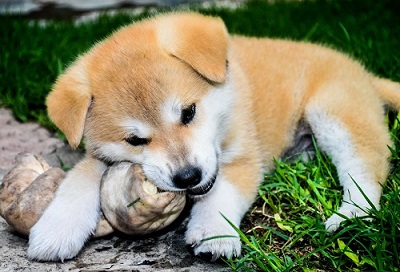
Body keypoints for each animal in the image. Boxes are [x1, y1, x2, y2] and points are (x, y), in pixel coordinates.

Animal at [27, 12, 400, 262]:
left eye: (188, 112)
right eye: (134, 141)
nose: (187, 177)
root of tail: (364, 73)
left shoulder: (244, 156)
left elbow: (222, 193)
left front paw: (213, 233)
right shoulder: (100, 156)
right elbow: (80, 178)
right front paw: (56, 228)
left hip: (335, 112)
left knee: (365, 170)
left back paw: (349, 215)